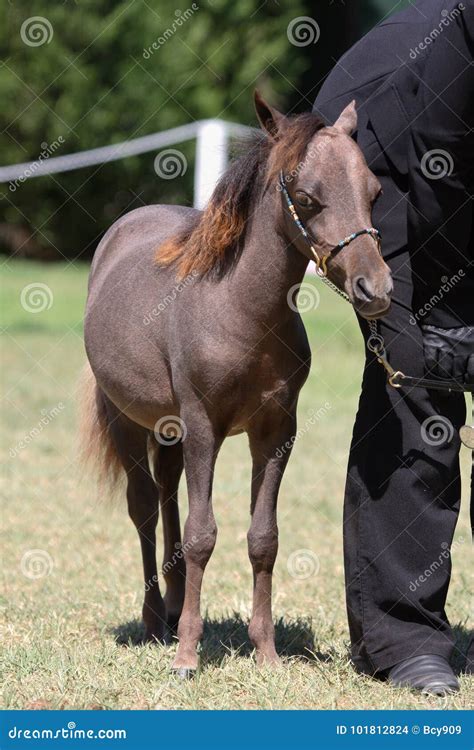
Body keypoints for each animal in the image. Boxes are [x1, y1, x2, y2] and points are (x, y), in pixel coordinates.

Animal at [82, 92, 392, 676]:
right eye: (306, 197)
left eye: (374, 192)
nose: (376, 288)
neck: (241, 311)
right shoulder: (204, 424)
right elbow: (203, 534)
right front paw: (187, 656)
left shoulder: (275, 430)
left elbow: (262, 537)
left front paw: (265, 651)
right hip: (128, 419)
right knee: (144, 505)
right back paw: (155, 622)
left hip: (170, 427)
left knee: (167, 491)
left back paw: (175, 605)